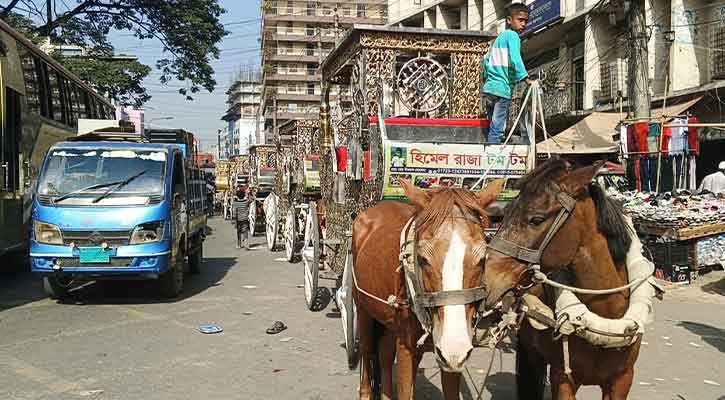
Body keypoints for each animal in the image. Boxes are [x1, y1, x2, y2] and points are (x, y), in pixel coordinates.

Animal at [350, 179, 504, 400]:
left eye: (482, 259)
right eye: (422, 258)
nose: (454, 346)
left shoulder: (450, 361)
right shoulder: (407, 348)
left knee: (385, 354)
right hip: (363, 308)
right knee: (366, 348)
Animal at [484, 159, 640, 400]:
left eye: (536, 219)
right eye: (505, 212)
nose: (487, 280)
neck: (604, 318)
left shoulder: (622, 380)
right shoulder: (563, 378)